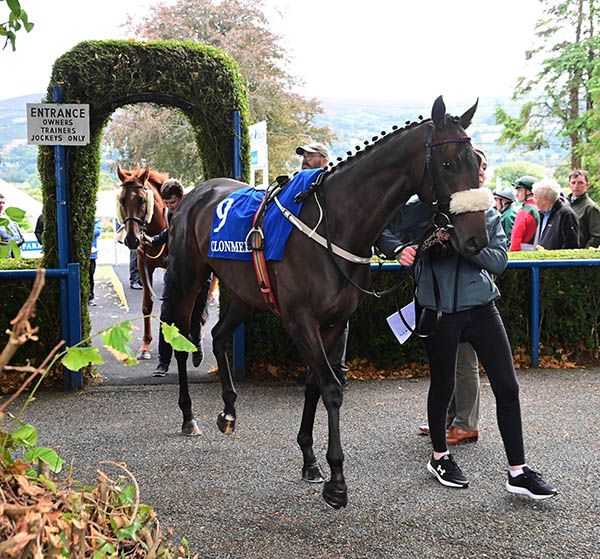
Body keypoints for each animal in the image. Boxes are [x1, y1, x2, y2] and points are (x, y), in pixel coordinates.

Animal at [116, 166, 169, 358]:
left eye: (142, 200)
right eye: (122, 200)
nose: (132, 240)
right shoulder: (144, 265)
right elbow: (147, 305)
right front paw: (145, 345)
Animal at [166, 97, 490, 512]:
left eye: (476, 162)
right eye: (448, 164)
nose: (476, 239)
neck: (334, 226)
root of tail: (198, 193)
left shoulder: (335, 321)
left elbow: (313, 385)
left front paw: (309, 459)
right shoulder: (299, 320)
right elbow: (332, 389)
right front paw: (337, 481)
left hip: (241, 292)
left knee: (220, 336)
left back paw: (229, 411)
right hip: (187, 278)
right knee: (179, 339)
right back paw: (189, 416)